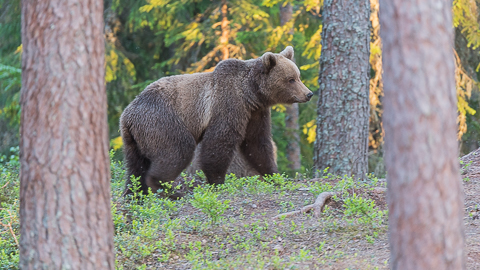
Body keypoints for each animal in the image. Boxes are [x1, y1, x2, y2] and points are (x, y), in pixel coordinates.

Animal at [121, 46, 312, 194]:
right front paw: (217, 181)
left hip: (134, 140)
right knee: (178, 150)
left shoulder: (255, 113)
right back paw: (167, 190)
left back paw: (135, 194)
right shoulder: (228, 103)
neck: (250, 93)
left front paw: (274, 174)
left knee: (136, 168)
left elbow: (257, 143)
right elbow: (219, 142)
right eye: (291, 79)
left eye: (298, 76)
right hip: (162, 121)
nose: (308, 94)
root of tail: (128, 114)